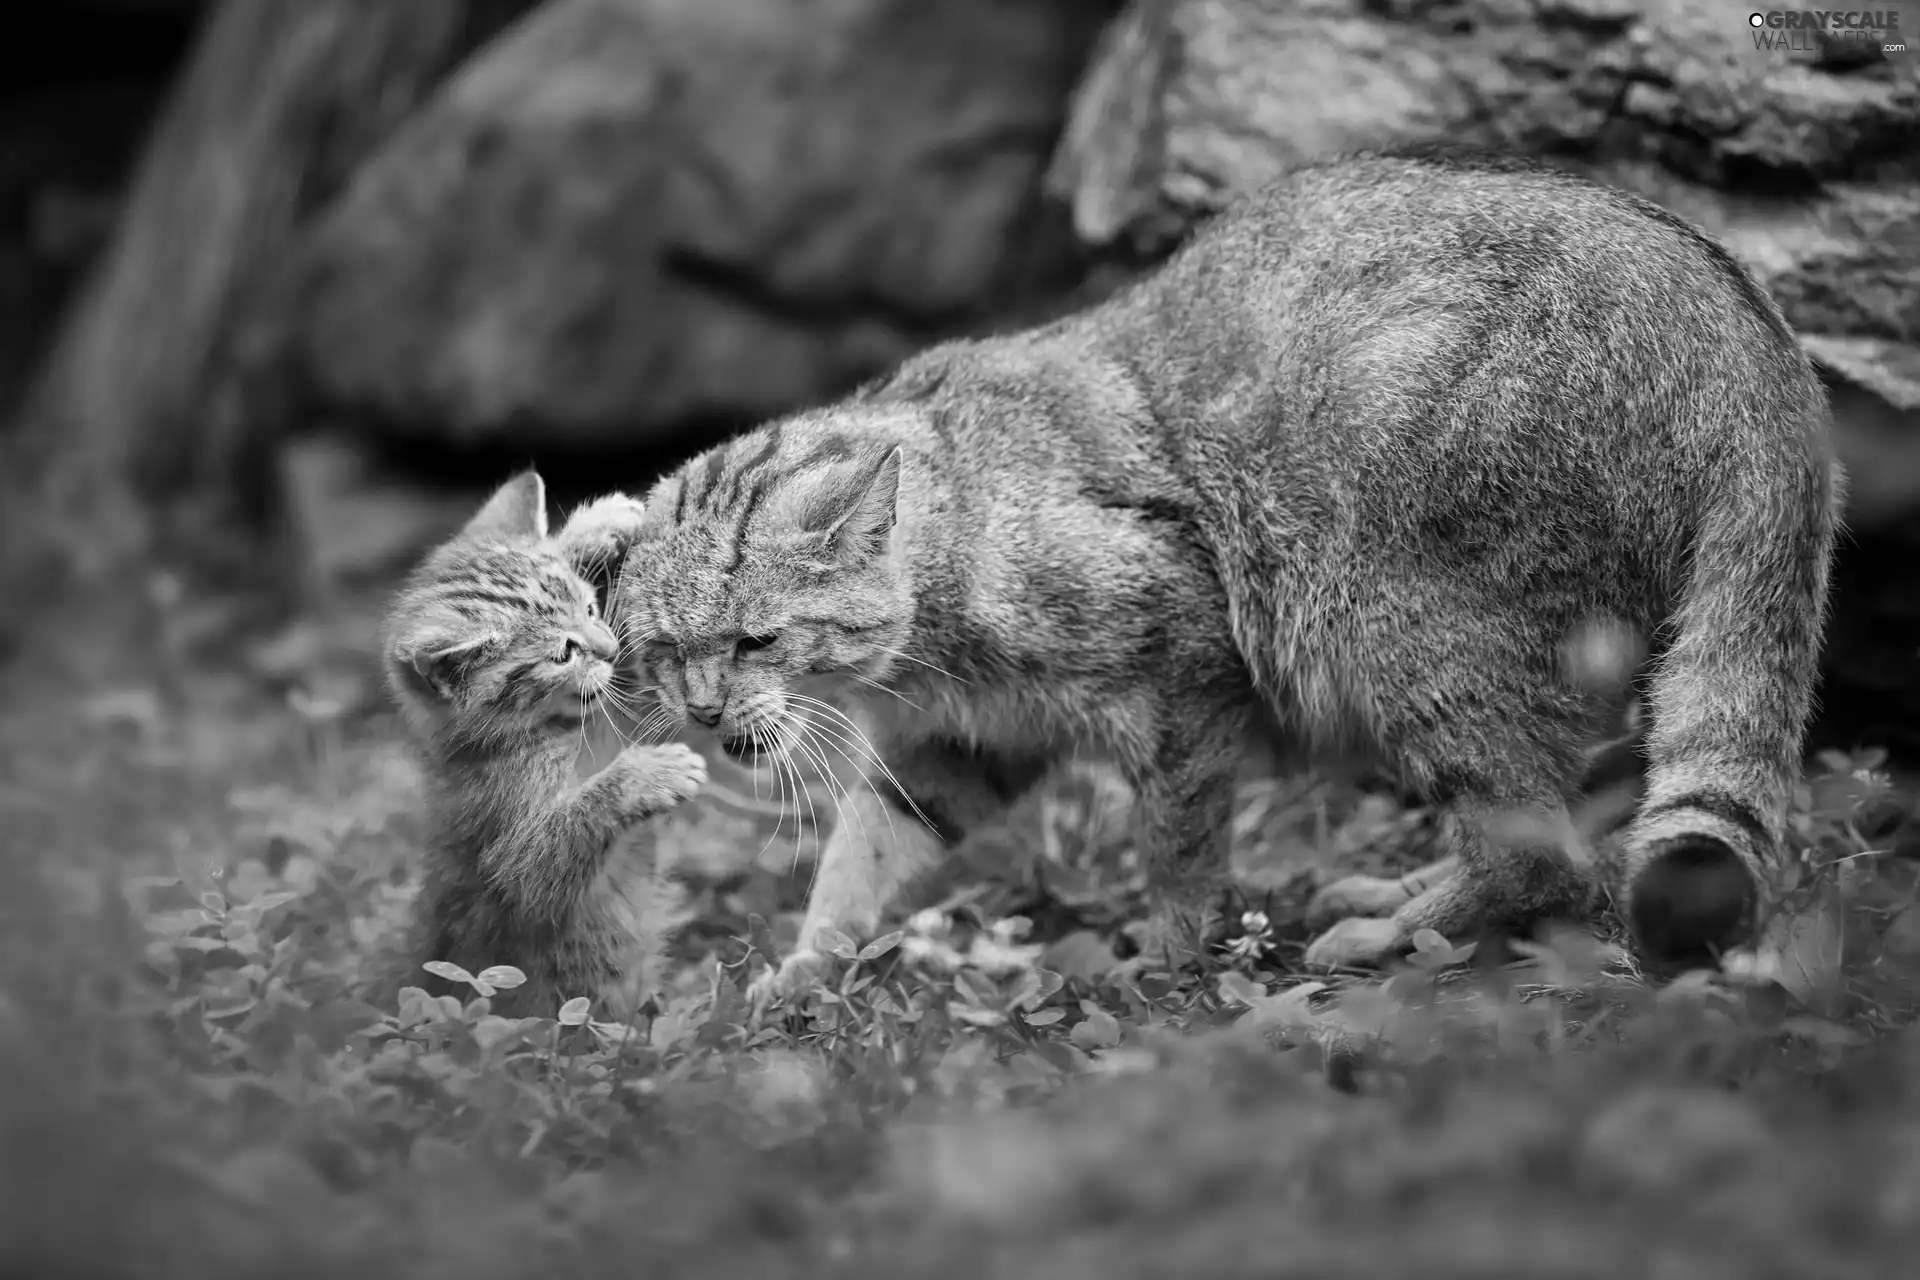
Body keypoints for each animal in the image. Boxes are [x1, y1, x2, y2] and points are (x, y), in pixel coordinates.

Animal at [380, 470, 706, 1020]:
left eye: (591, 608)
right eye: (563, 653)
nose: (608, 648)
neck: (557, 728)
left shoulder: (624, 701)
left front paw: (596, 528)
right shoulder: (507, 850)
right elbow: (544, 861)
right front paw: (645, 776)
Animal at [606, 150, 1835, 990]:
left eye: (757, 639)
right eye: (664, 653)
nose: (706, 713)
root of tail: (1756, 343)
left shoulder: (1185, 671)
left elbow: (1181, 844)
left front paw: (1170, 952)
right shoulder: (962, 749)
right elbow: (861, 854)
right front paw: (805, 967)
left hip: (1400, 620)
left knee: (1538, 847)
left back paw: (1390, 930)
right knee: (1575, 813)